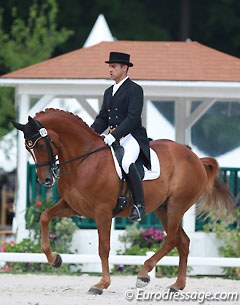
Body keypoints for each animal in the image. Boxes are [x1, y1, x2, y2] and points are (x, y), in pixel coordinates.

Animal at [12, 108, 233, 294]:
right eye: (28, 148)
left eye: (42, 144)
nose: (45, 180)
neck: (84, 160)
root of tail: (196, 158)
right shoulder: (72, 206)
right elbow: (44, 217)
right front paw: (55, 259)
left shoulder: (102, 211)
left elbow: (103, 247)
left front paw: (101, 284)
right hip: (163, 209)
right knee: (183, 241)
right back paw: (177, 285)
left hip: (176, 206)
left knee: (171, 239)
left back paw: (144, 274)